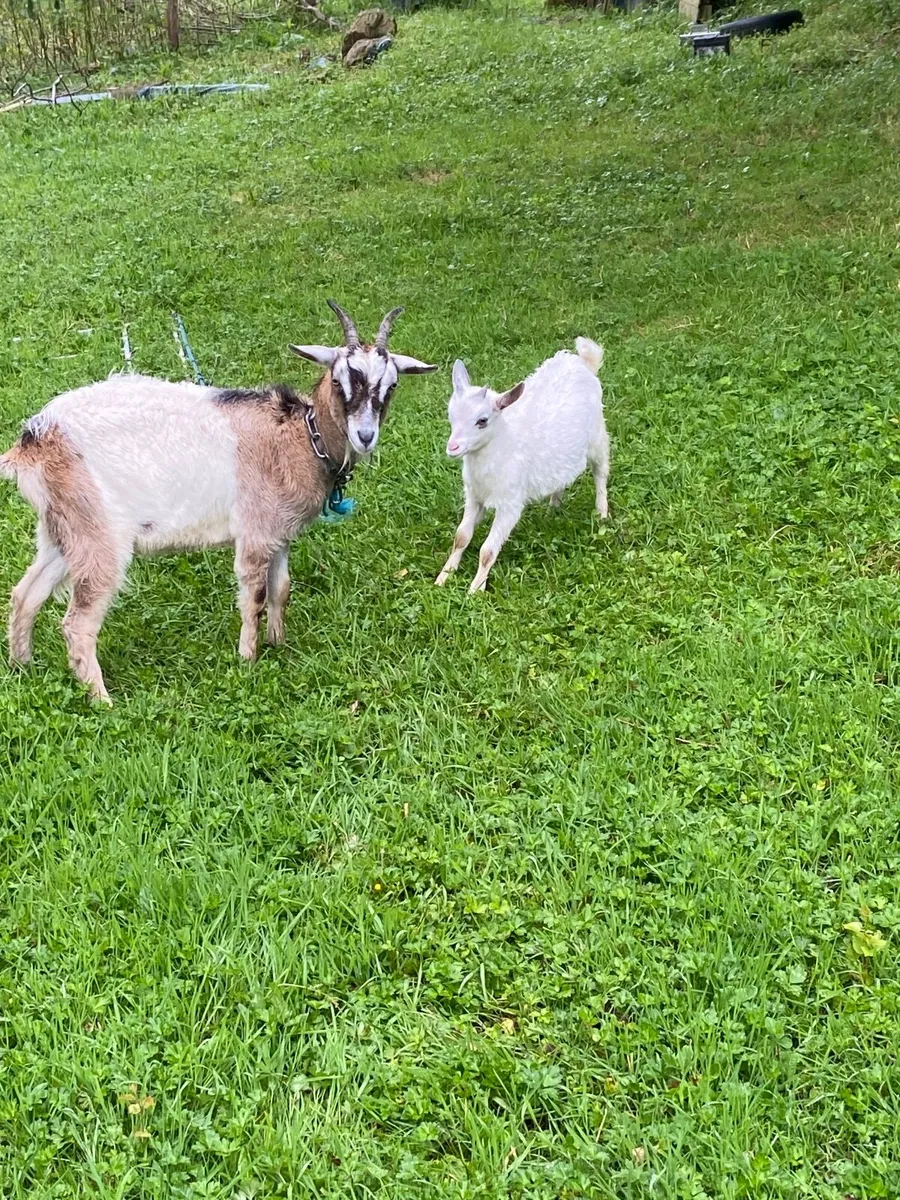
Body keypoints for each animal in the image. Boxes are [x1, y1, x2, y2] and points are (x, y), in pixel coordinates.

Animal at [1, 301, 436, 702]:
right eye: (338, 378)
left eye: (391, 386)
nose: (365, 436)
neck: (298, 438)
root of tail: (34, 439)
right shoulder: (255, 532)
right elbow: (254, 597)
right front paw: (248, 660)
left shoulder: (280, 533)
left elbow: (281, 589)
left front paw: (279, 644)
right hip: (99, 533)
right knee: (78, 622)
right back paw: (102, 700)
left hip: (63, 529)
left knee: (26, 593)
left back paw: (22, 666)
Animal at [435, 338, 609, 593]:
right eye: (451, 414)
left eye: (482, 420)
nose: (453, 447)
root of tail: (584, 362)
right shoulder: (474, 495)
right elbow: (461, 536)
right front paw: (444, 576)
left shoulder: (510, 503)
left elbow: (487, 551)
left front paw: (475, 589)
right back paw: (554, 506)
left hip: (598, 436)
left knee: (600, 472)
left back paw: (602, 513)